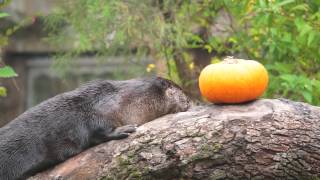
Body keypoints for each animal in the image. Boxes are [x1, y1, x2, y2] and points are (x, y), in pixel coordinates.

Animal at [0, 76, 190, 179]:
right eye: (180, 90)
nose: (189, 101)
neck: (122, 100)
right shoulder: (94, 111)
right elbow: (98, 129)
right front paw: (123, 129)